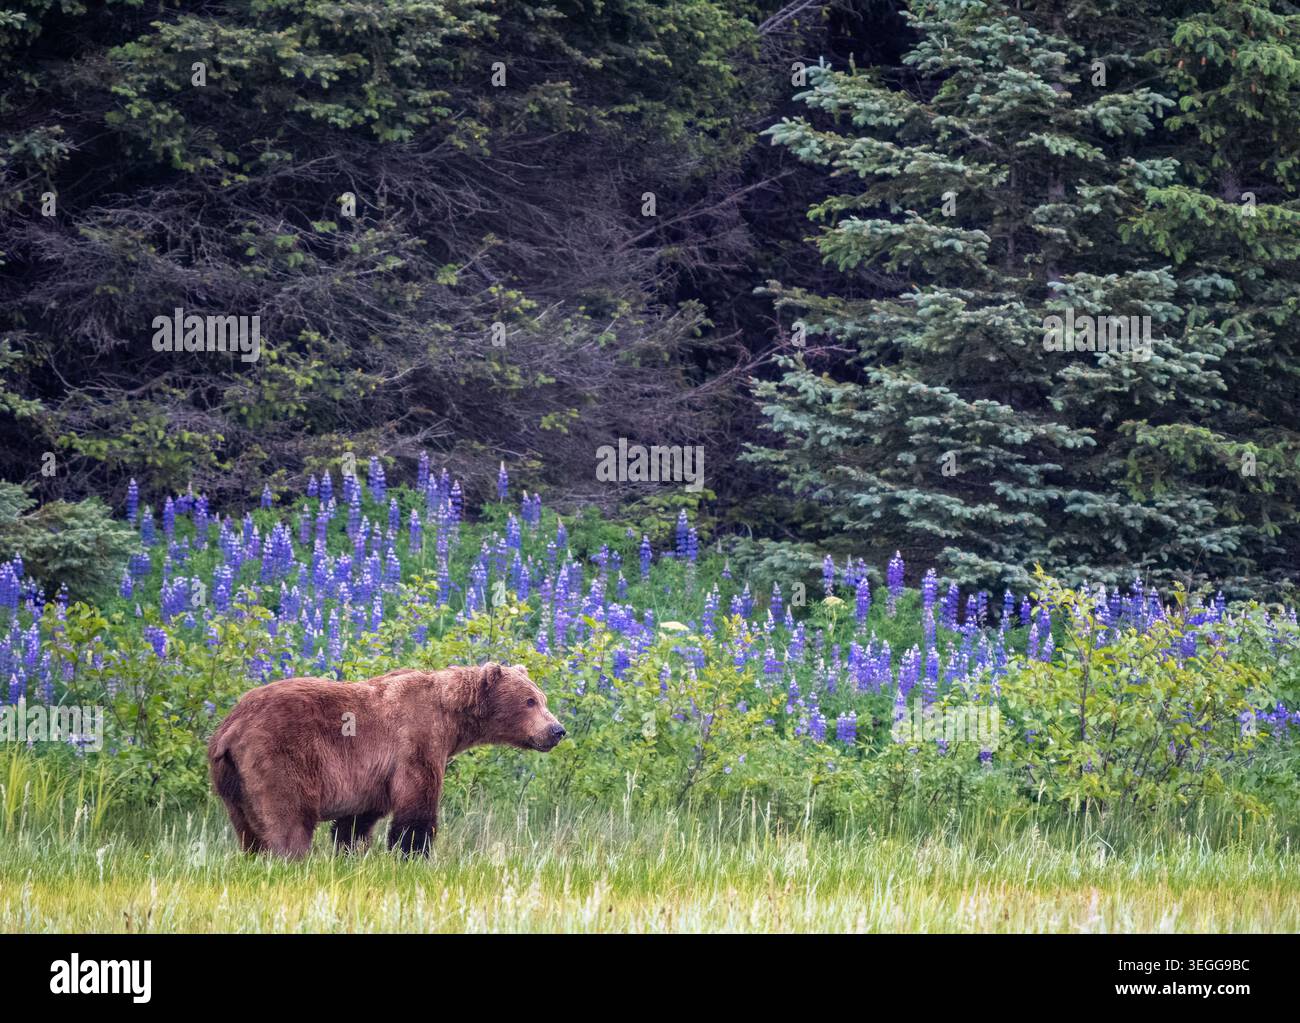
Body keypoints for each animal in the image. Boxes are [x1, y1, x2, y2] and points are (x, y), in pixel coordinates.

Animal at [207, 662, 565, 858]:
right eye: (530, 701)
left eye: (542, 698)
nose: (557, 730)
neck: (451, 718)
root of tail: (230, 726)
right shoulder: (415, 742)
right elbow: (416, 808)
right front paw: (413, 856)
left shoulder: (371, 776)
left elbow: (357, 820)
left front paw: (350, 851)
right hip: (279, 756)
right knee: (288, 817)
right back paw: (289, 861)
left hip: (230, 780)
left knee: (247, 830)